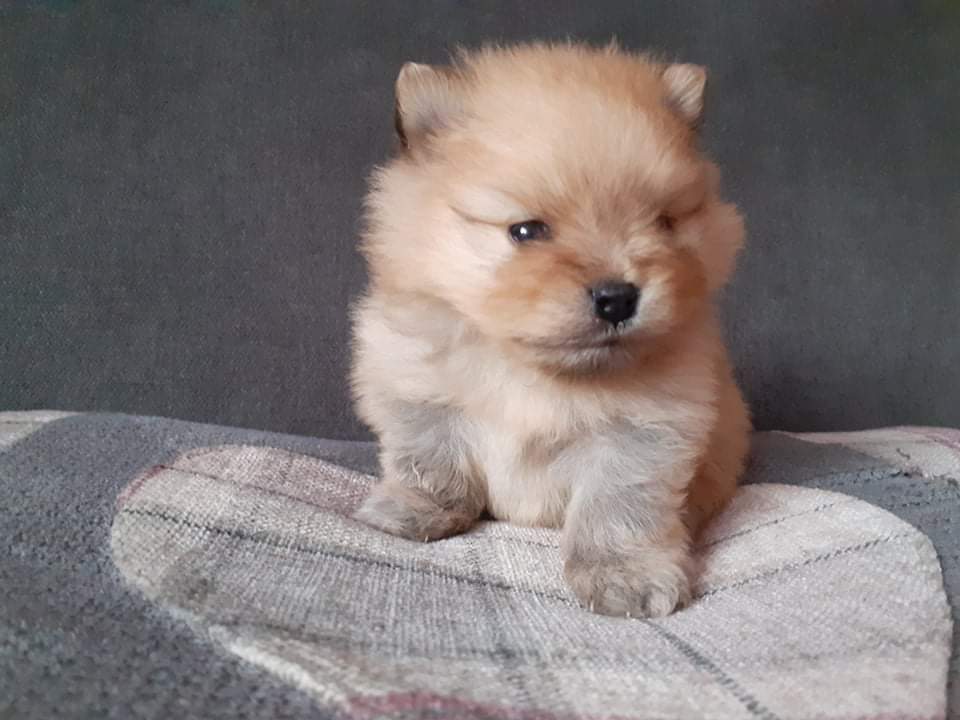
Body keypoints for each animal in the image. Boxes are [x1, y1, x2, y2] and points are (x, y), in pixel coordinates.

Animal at [351, 42, 750, 618]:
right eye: (526, 231)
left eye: (662, 223)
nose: (617, 296)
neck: (534, 370)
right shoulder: (415, 384)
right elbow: (429, 457)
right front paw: (415, 508)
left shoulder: (646, 431)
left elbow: (619, 506)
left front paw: (624, 574)